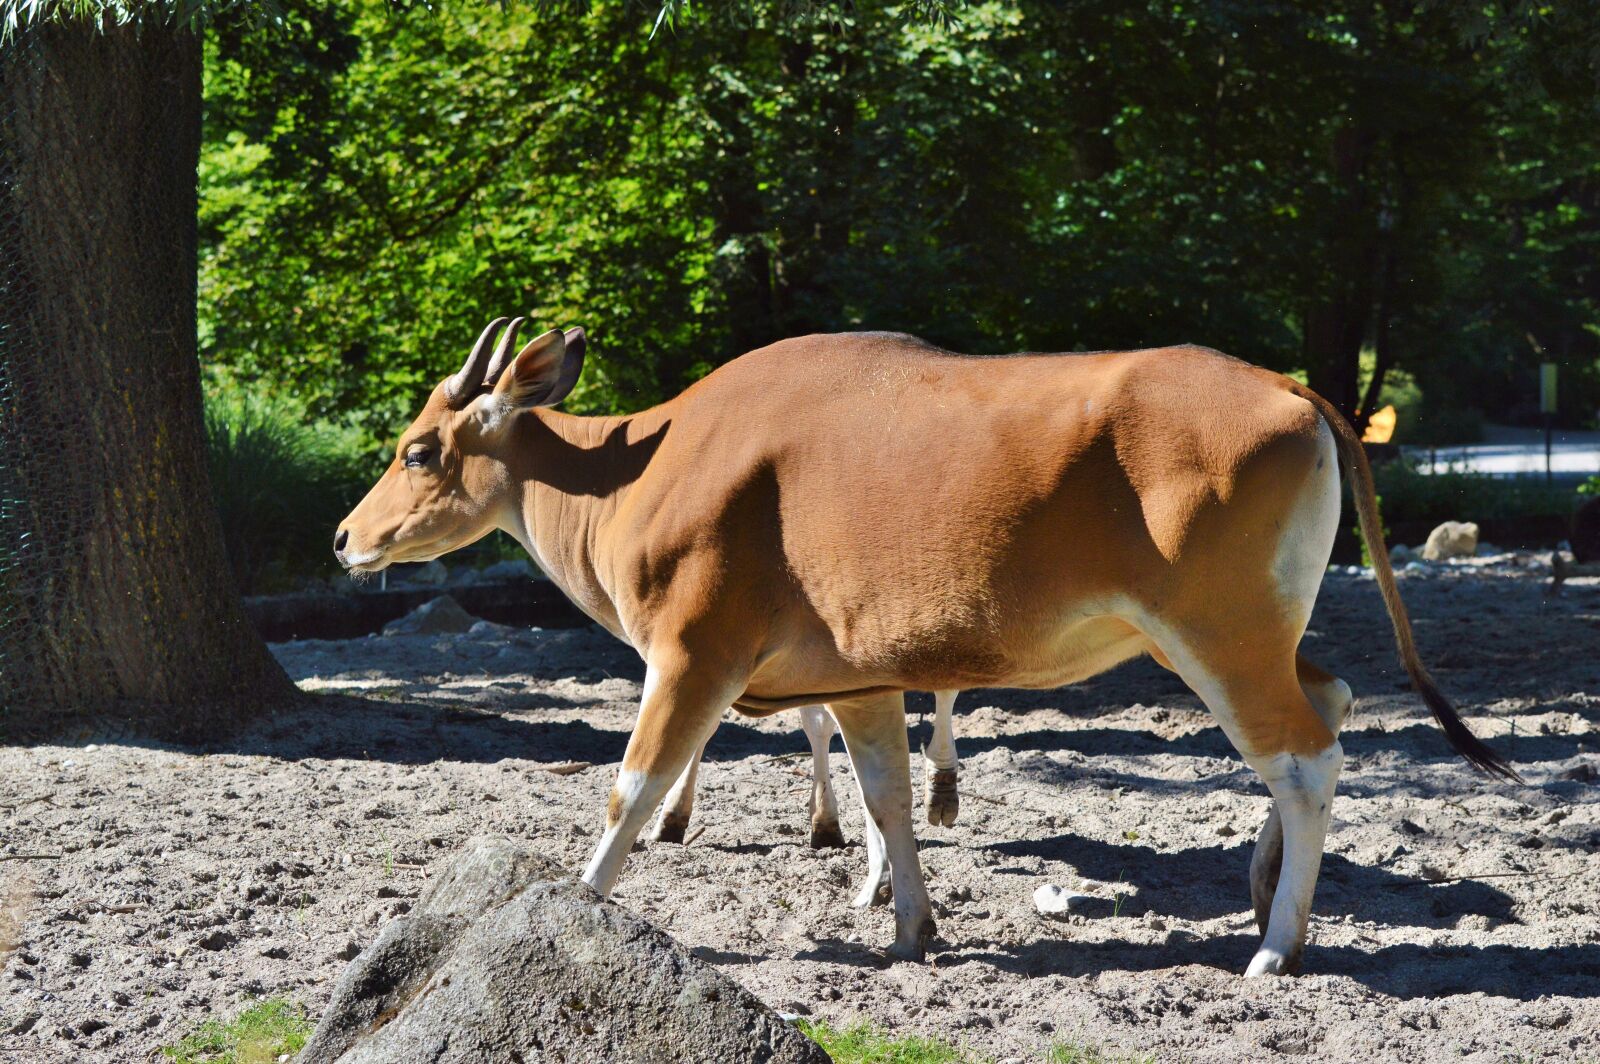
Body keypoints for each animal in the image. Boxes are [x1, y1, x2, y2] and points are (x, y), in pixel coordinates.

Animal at [335, 318, 1514, 976]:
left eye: (418, 447)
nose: (346, 537)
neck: (644, 467)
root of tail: (1289, 387)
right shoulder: (857, 680)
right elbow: (887, 797)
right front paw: (907, 926)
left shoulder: (692, 655)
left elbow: (631, 787)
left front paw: (571, 905)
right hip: (1232, 631)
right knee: (1335, 698)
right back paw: (1267, 890)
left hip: (1218, 631)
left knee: (1305, 756)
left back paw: (1275, 945)